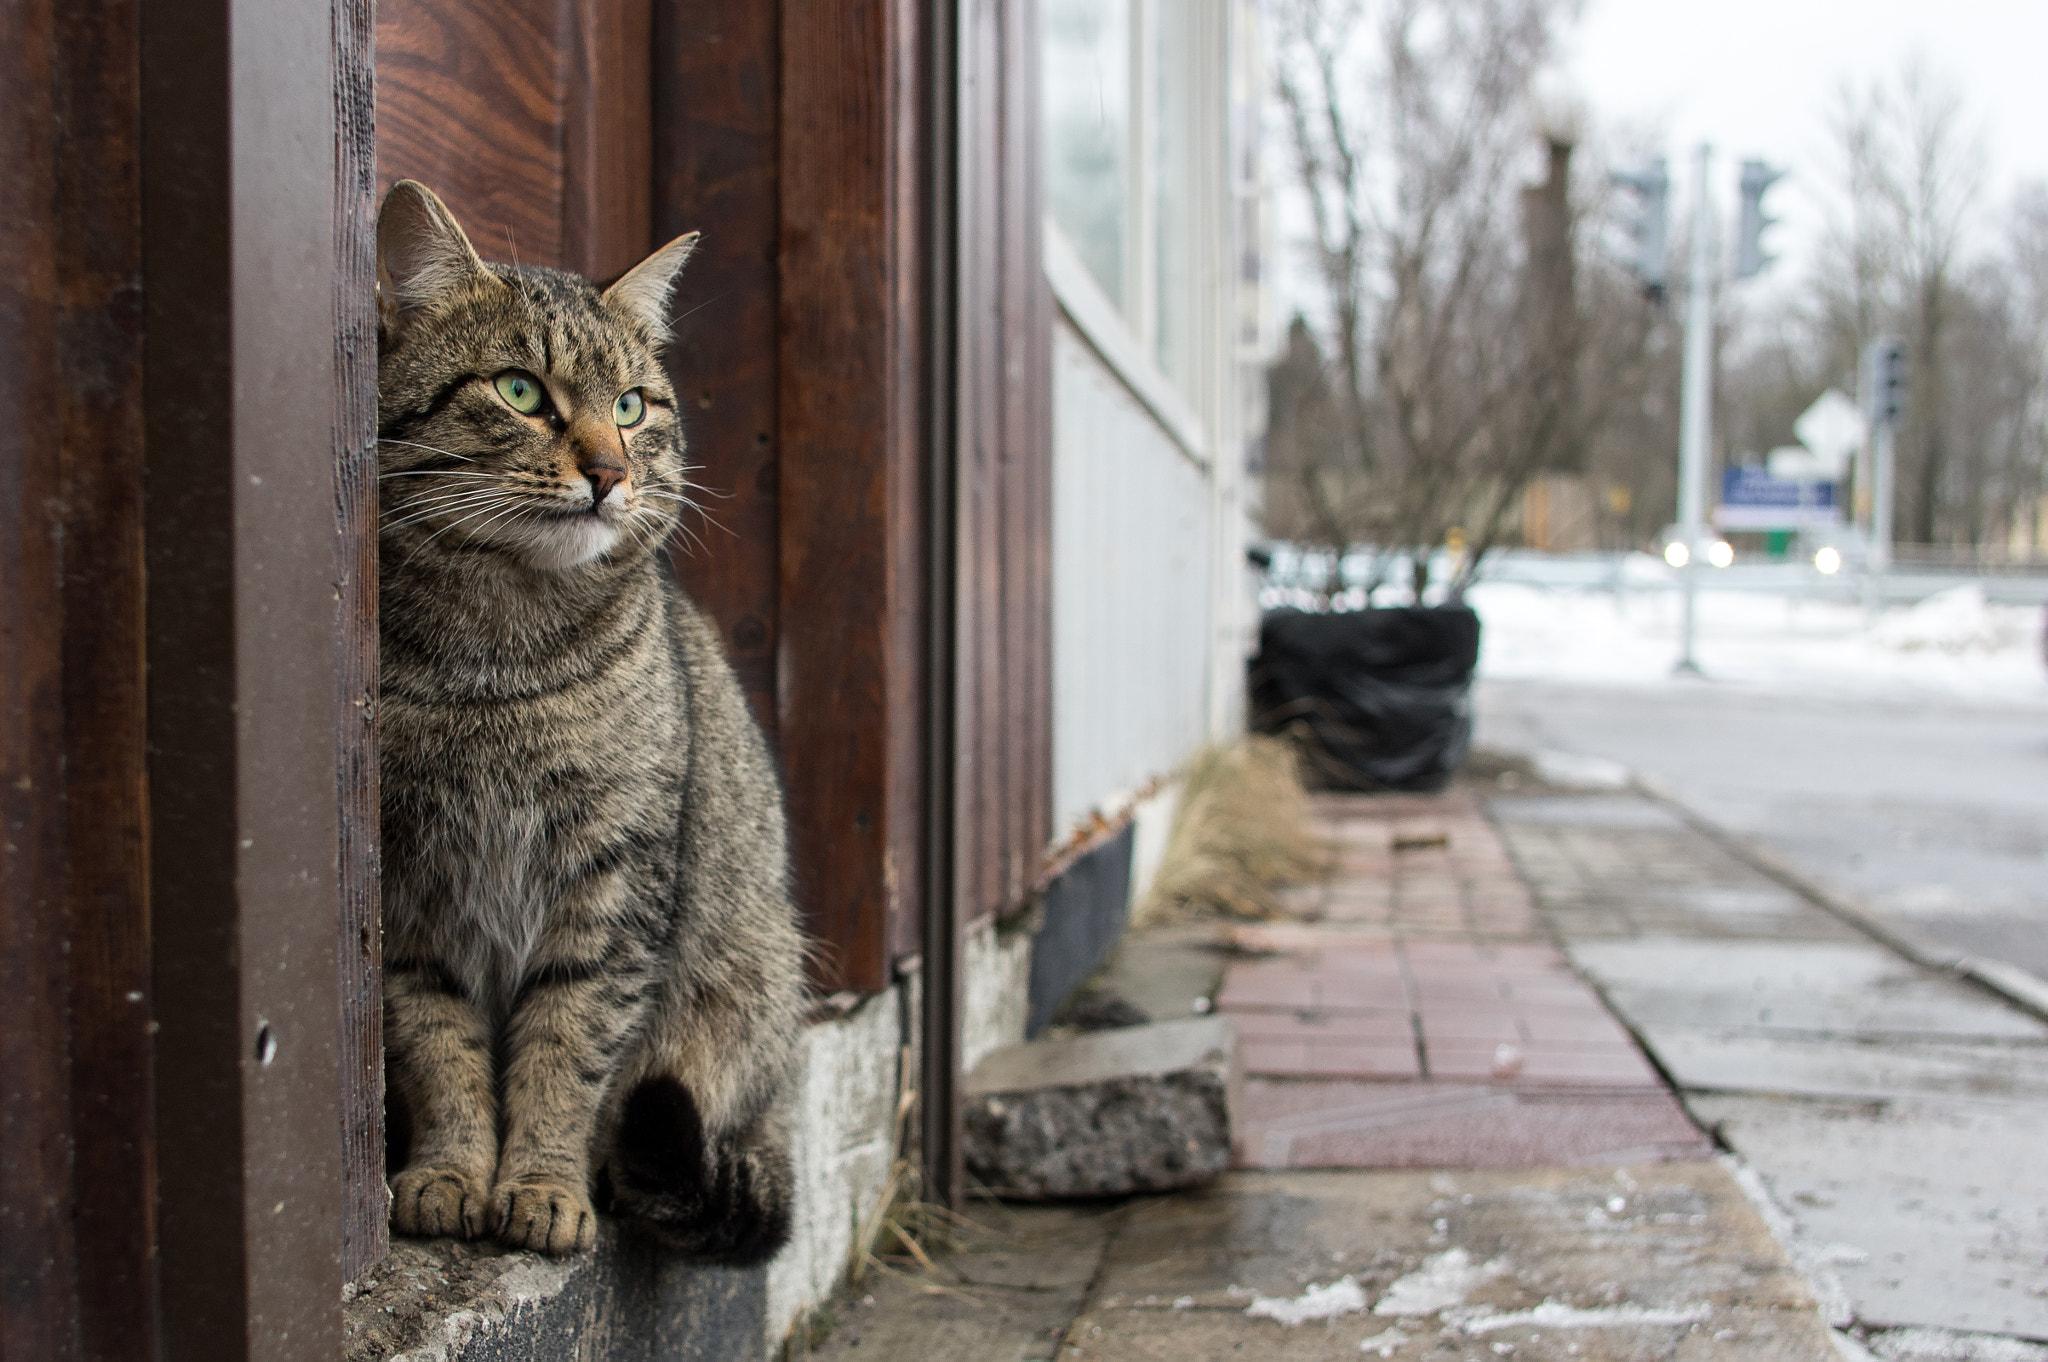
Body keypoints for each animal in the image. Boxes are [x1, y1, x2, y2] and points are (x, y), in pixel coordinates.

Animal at [372, 180, 802, 1261]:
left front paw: (543, 1188)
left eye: (630, 406)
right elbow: (438, 1049)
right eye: (521, 392)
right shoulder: (405, 891)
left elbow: (568, 1052)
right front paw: (448, 1175)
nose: (609, 471)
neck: (496, 663)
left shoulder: (613, 882)